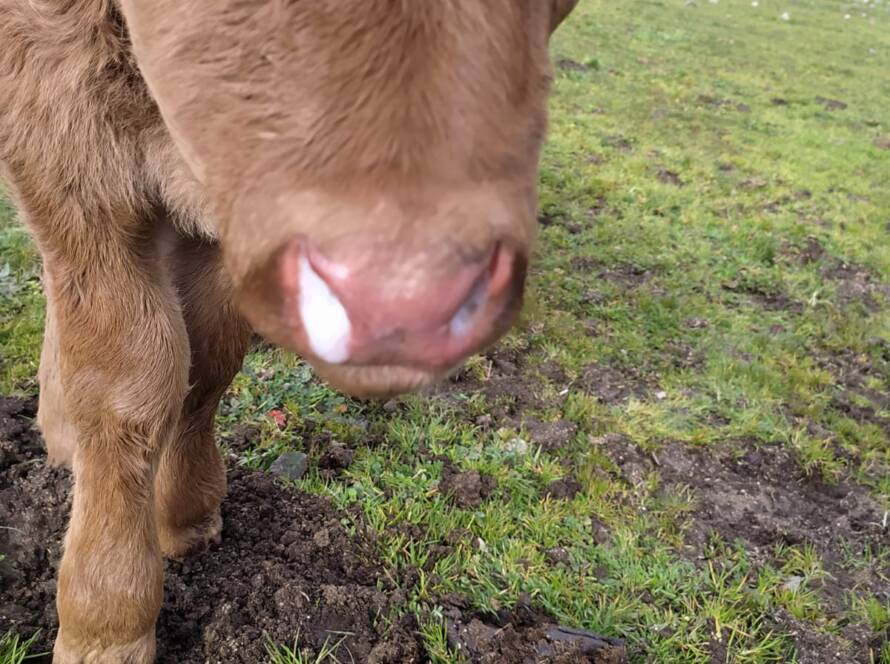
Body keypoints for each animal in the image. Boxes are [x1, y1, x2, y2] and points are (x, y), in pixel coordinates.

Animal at [0, 1, 579, 661]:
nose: (404, 296)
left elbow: (208, 356)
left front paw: (184, 518)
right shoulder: (57, 135)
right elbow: (125, 379)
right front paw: (104, 628)